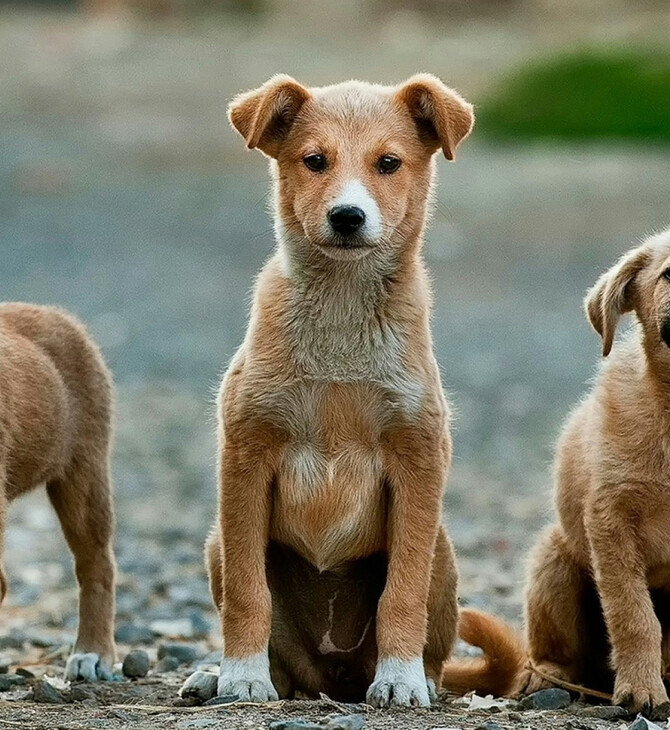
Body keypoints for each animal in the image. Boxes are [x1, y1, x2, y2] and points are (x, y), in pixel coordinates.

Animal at [181, 74, 476, 704]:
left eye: (388, 163)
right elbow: (248, 592)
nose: (347, 216)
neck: (341, 313)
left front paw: (400, 680)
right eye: (314, 161)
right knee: (281, 656)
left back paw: (417, 678)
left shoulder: (419, 458)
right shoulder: (246, 455)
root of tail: (333, 677)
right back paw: (224, 674)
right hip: (217, 542)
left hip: (441, 549)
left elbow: (402, 592)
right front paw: (240, 675)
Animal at [446, 230, 670, 712]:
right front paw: (640, 689)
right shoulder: (610, 521)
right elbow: (634, 616)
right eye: (669, 274)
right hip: (554, 561)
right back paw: (550, 679)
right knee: (554, 656)